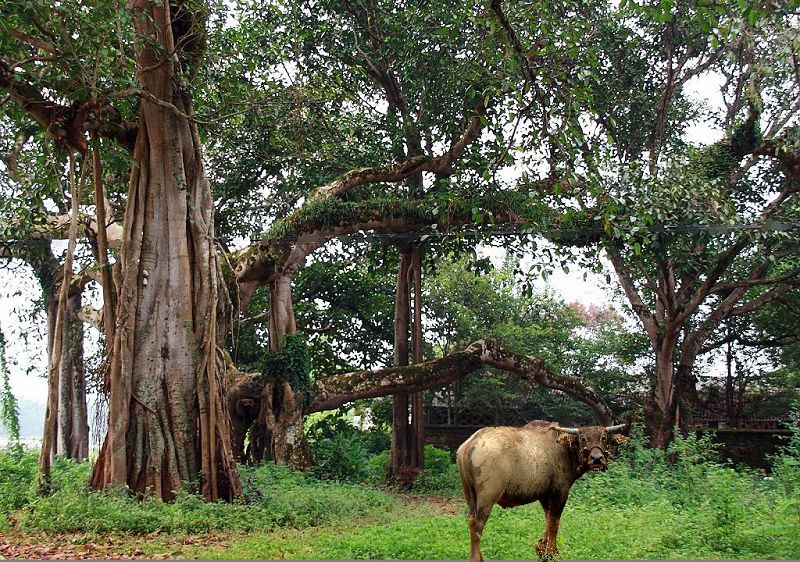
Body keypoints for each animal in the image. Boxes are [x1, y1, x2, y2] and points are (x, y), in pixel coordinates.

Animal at [460, 418, 628, 556]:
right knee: (478, 525)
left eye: (604, 437)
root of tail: (468, 446)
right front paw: (551, 552)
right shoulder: (560, 492)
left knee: (471, 522)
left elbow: (548, 519)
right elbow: (554, 523)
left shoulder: (544, 495)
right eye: (582, 438)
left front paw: (541, 548)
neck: (566, 451)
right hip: (488, 496)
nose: (597, 458)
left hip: (469, 495)